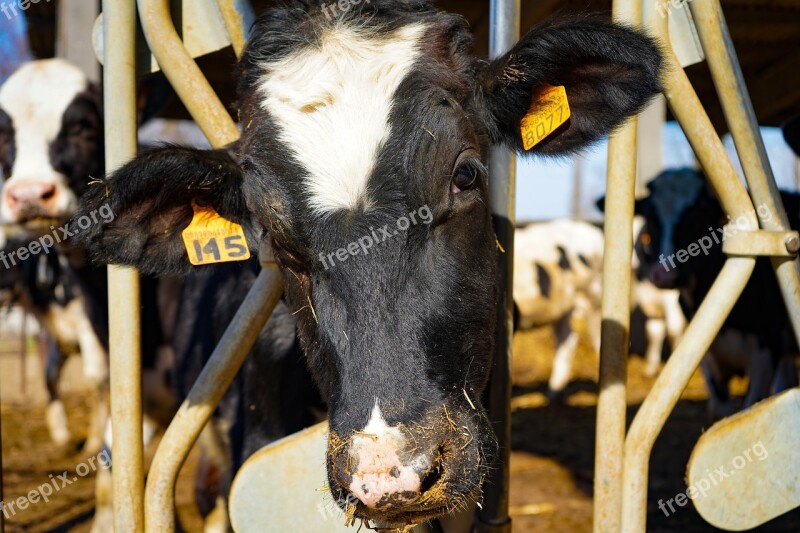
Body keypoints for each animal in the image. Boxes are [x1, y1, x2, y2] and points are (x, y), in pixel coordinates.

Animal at [636, 168, 796, 418]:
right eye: (651, 217)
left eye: (697, 217)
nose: (664, 275)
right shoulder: (707, 357)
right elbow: (721, 411)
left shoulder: (766, 353)